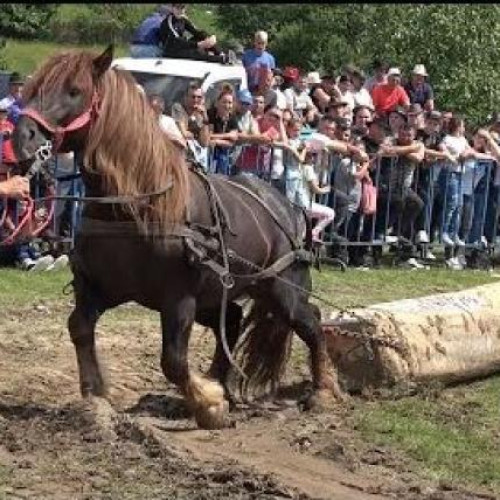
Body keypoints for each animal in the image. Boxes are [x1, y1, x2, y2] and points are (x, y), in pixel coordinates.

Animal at [11, 47, 342, 430]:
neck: (135, 206)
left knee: (311, 321)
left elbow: (173, 360)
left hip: (281, 289)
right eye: (32, 89)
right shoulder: (96, 286)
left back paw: (321, 391)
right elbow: (79, 327)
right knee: (232, 322)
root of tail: (290, 207)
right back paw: (221, 383)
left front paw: (208, 404)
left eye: (74, 90)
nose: (21, 138)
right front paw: (95, 396)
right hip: (218, 297)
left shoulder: (178, 300)